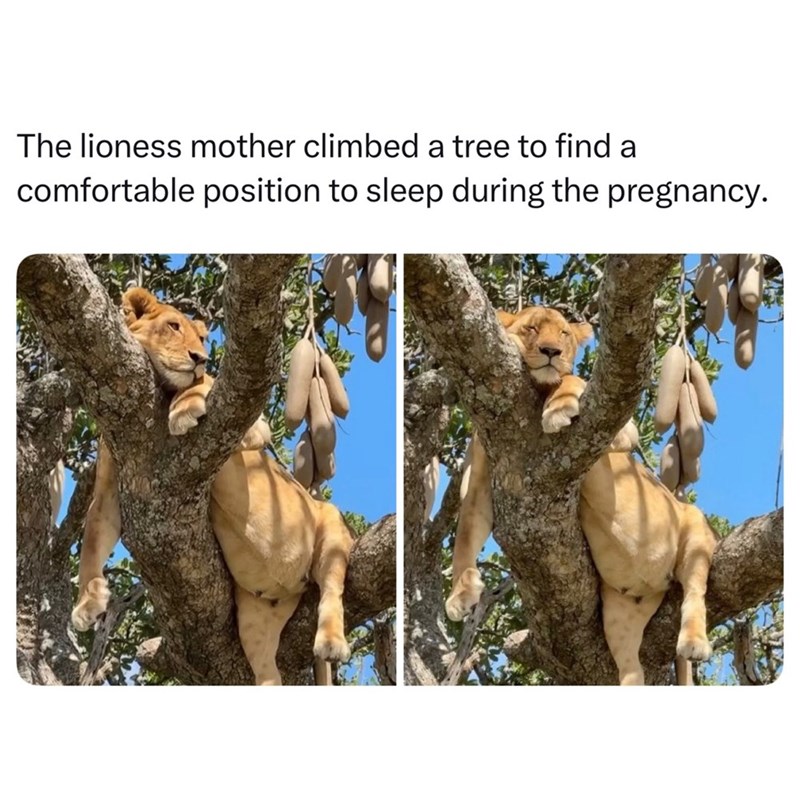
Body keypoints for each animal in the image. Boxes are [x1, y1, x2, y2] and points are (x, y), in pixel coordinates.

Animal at [71, 287, 353, 685]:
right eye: (173, 326)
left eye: (202, 339)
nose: (200, 358)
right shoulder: (110, 494)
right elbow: (92, 543)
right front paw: (86, 603)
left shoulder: (253, 429)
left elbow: (205, 386)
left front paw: (185, 407)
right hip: (256, 622)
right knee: (267, 673)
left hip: (331, 532)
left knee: (332, 589)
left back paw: (331, 642)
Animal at [445, 305, 717, 685]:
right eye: (531, 329)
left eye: (563, 334)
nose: (551, 352)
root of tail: (659, 583)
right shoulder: (481, 487)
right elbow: (465, 537)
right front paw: (460, 594)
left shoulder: (620, 434)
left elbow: (571, 382)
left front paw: (558, 407)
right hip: (619, 618)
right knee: (631, 669)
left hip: (694, 534)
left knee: (695, 592)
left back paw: (694, 642)